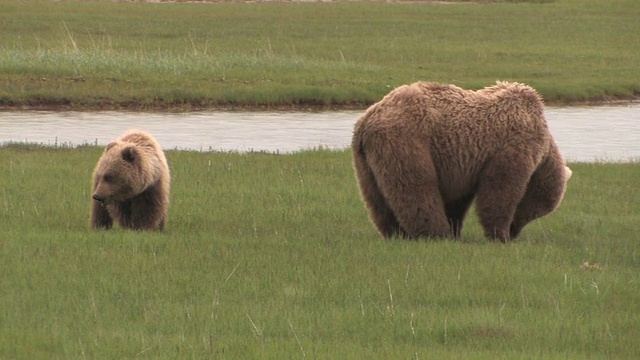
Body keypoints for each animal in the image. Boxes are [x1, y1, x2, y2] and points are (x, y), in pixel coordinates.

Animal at [352, 80, 572, 240]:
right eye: (535, 212)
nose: (514, 232)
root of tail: (368, 119)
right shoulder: (513, 146)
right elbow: (500, 190)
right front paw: (499, 234)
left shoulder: (463, 164)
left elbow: (459, 199)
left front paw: (457, 228)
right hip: (407, 141)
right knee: (416, 187)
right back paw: (436, 234)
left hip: (366, 161)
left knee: (377, 199)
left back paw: (395, 233)